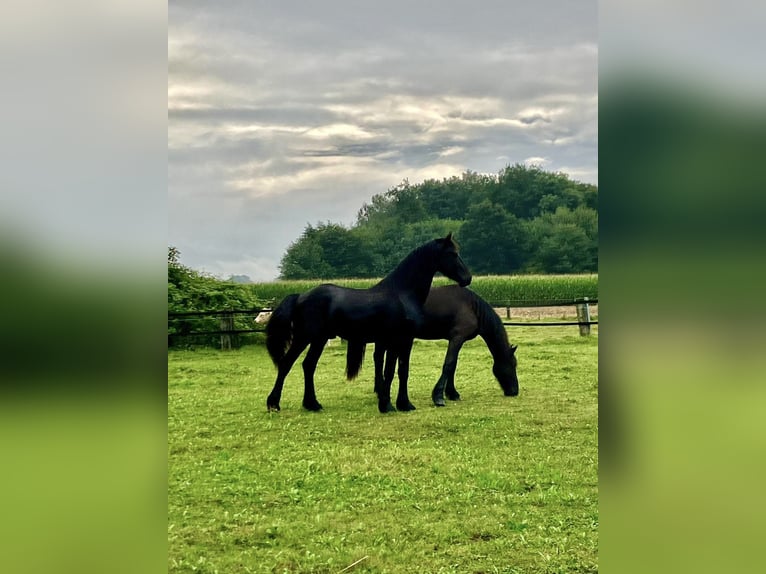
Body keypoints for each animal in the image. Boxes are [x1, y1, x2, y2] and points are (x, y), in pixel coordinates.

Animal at [268, 234, 472, 414]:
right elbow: (390, 371)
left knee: (308, 365)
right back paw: (274, 404)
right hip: (304, 337)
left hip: (319, 339)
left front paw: (404, 404)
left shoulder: (405, 340)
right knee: (286, 364)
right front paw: (388, 405)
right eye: (452, 254)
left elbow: (402, 371)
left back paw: (312, 404)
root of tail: (300, 296)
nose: (468, 278)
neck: (401, 293)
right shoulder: (394, 340)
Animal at [348, 286, 520, 408]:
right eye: (513, 365)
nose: (514, 391)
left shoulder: (455, 340)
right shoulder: (457, 337)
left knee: (378, 358)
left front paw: (452, 393)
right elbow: (449, 364)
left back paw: (379, 390)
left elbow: (453, 365)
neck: (472, 307)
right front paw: (438, 396)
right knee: (378, 359)